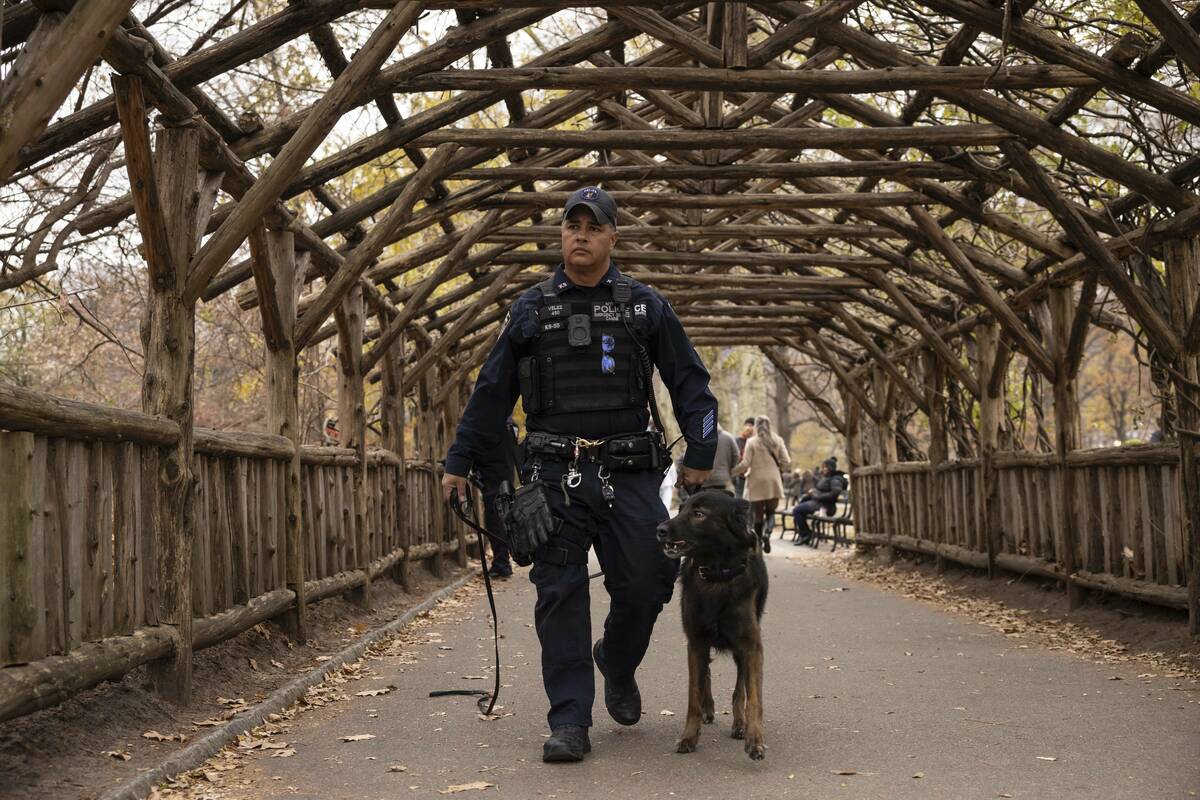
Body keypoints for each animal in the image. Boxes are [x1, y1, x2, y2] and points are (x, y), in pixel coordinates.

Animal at [657, 491, 768, 762]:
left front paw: (754, 739)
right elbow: (693, 696)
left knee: (739, 689)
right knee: (705, 674)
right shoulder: (696, 641)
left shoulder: (751, 646)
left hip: (739, 652)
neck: (718, 576)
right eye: (681, 509)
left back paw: (739, 724)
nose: (660, 529)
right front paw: (689, 736)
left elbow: (753, 697)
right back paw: (709, 709)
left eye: (699, 514)